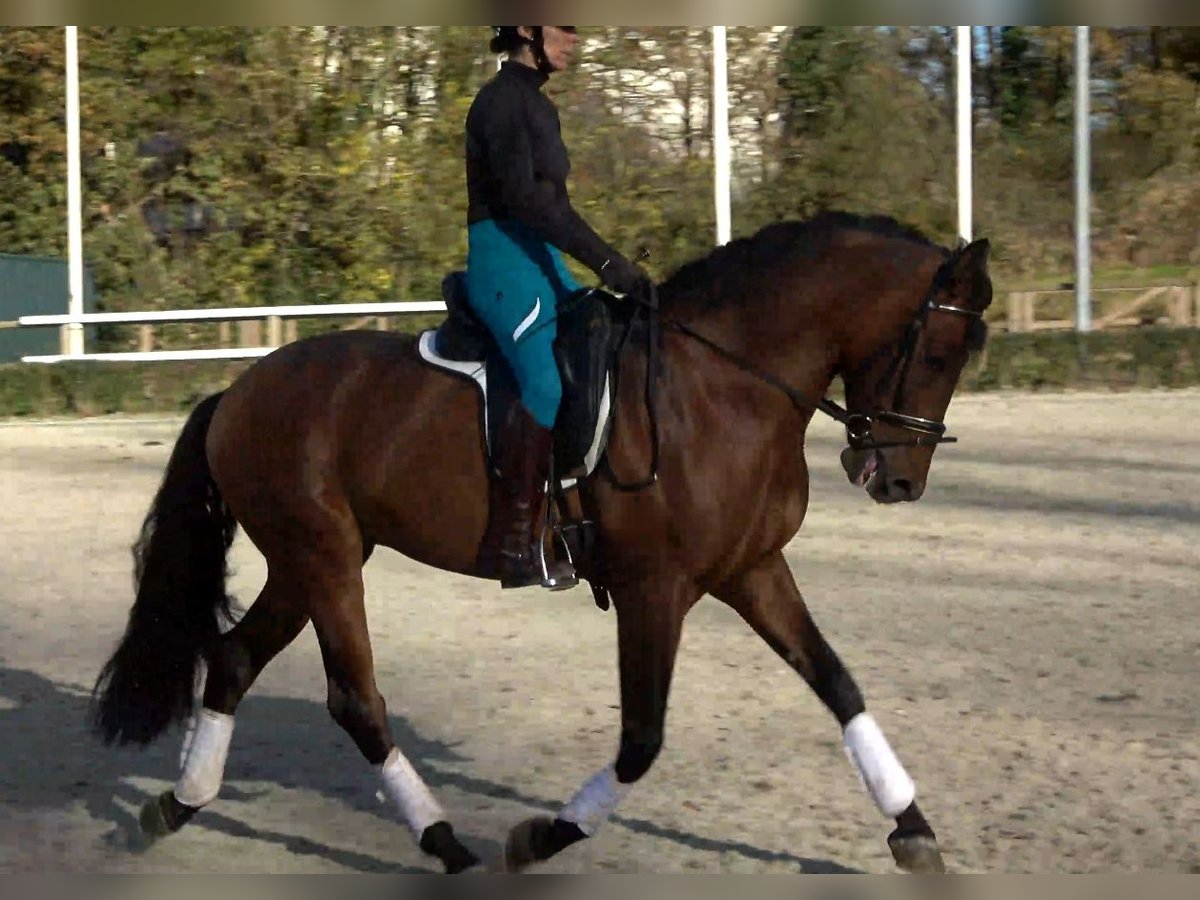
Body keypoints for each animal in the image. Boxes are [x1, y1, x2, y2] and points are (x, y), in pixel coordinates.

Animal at [90, 210, 993, 874]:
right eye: (938, 352)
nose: (898, 480)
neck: (725, 386)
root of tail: (240, 389)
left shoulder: (752, 569)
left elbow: (838, 683)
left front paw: (912, 828)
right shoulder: (654, 589)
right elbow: (641, 740)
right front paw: (540, 839)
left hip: (306, 561)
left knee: (235, 661)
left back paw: (176, 804)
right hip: (325, 559)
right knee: (353, 698)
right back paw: (445, 843)